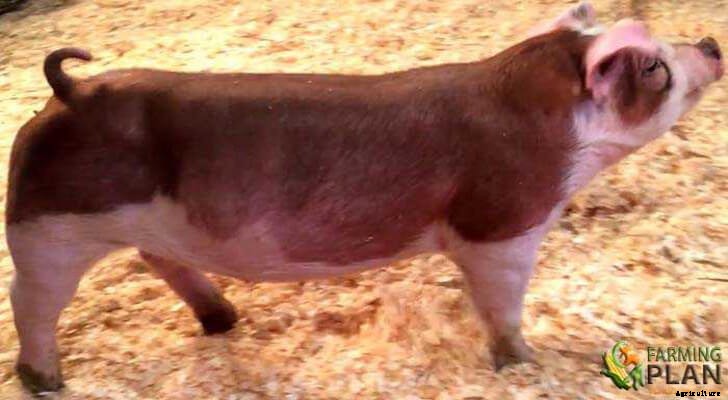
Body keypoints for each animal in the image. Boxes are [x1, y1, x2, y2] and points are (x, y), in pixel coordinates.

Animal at [6, 2, 722, 394]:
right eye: (653, 66)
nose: (712, 43)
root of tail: (72, 94)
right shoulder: (500, 223)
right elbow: (503, 303)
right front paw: (522, 364)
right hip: (48, 233)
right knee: (31, 301)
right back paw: (47, 383)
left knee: (158, 260)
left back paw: (224, 321)